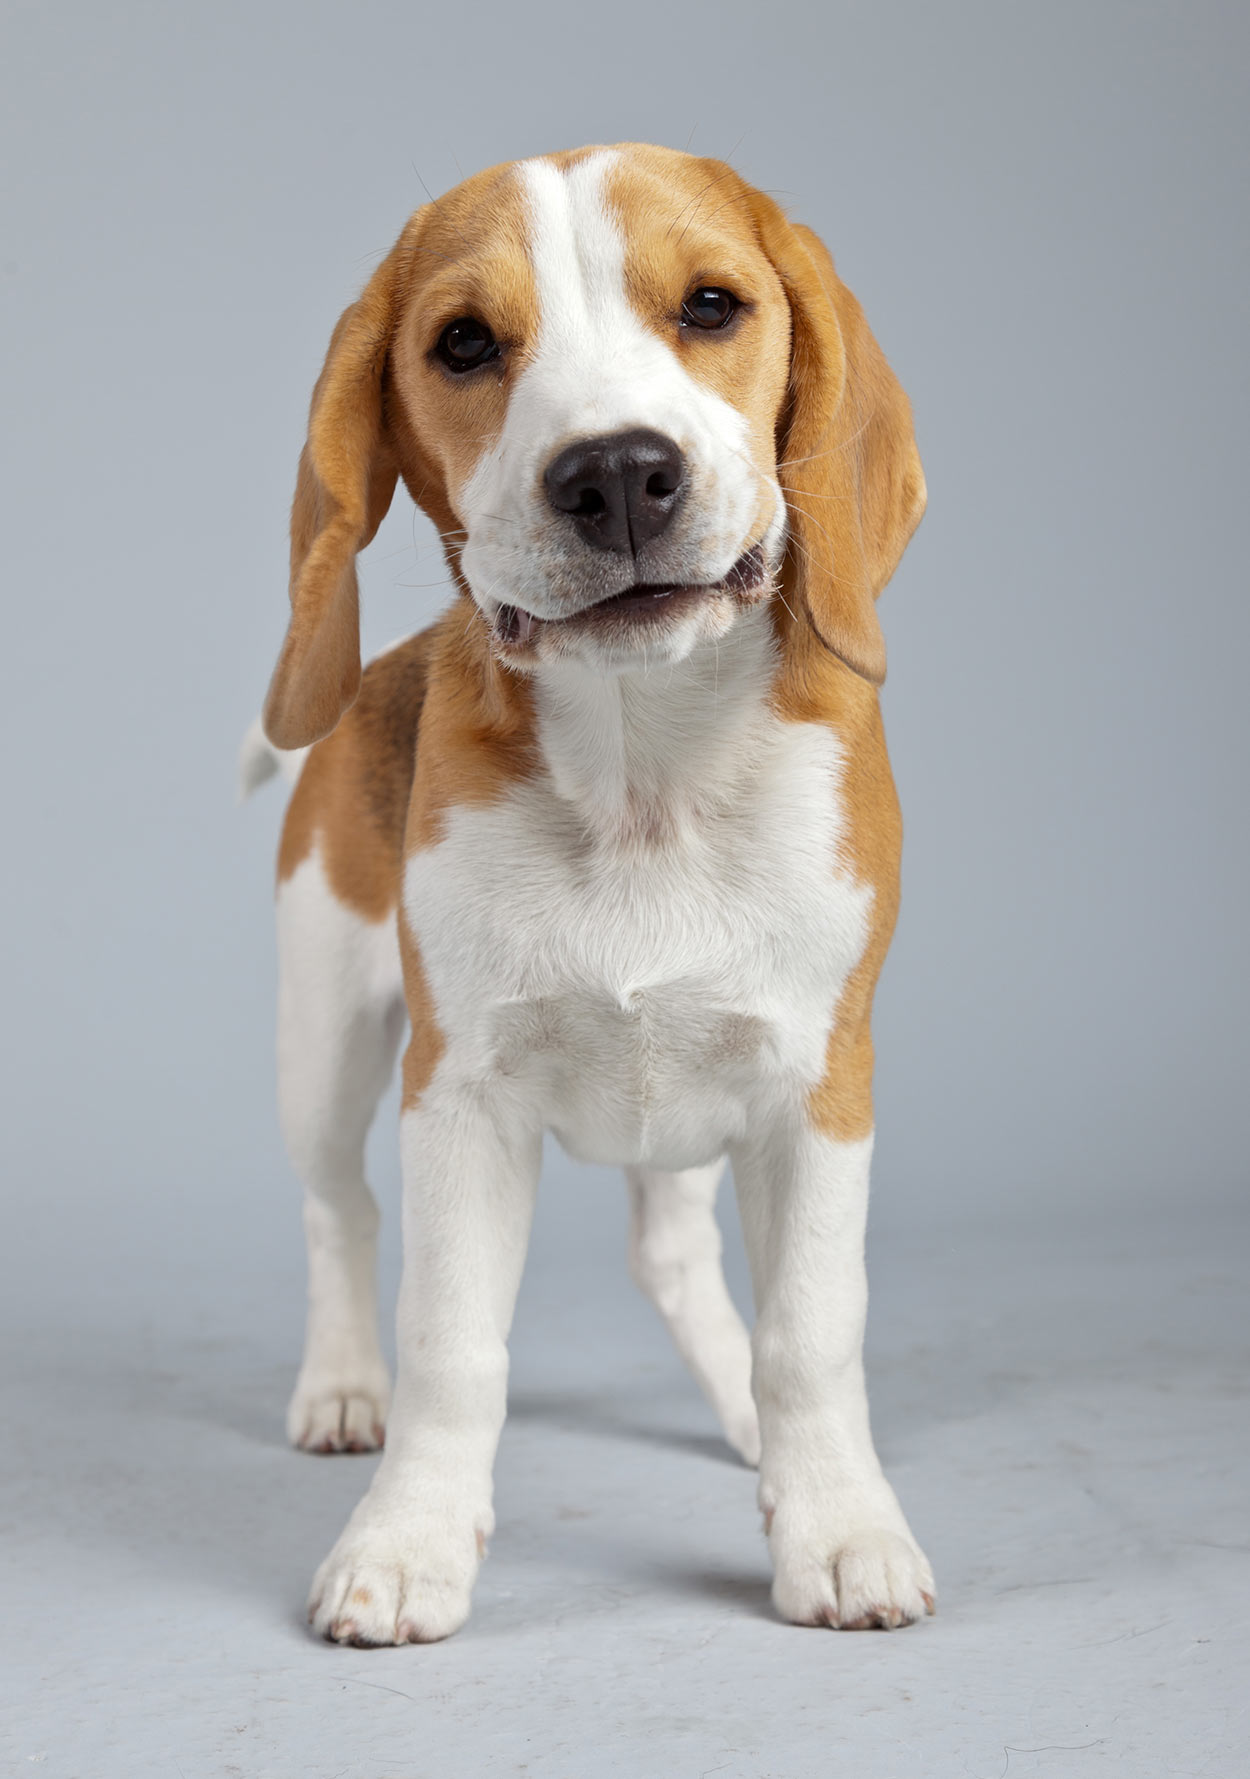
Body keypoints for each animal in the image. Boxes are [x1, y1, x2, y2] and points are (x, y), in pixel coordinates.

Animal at [245, 138, 931, 1636]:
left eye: (713, 306)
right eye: (462, 342)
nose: (616, 472)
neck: (642, 767)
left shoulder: (818, 1081)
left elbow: (811, 1329)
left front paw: (836, 1523)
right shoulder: (456, 1093)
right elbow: (450, 1341)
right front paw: (407, 1543)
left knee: (673, 1255)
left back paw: (743, 1414)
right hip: (325, 1040)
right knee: (336, 1214)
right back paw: (340, 1387)